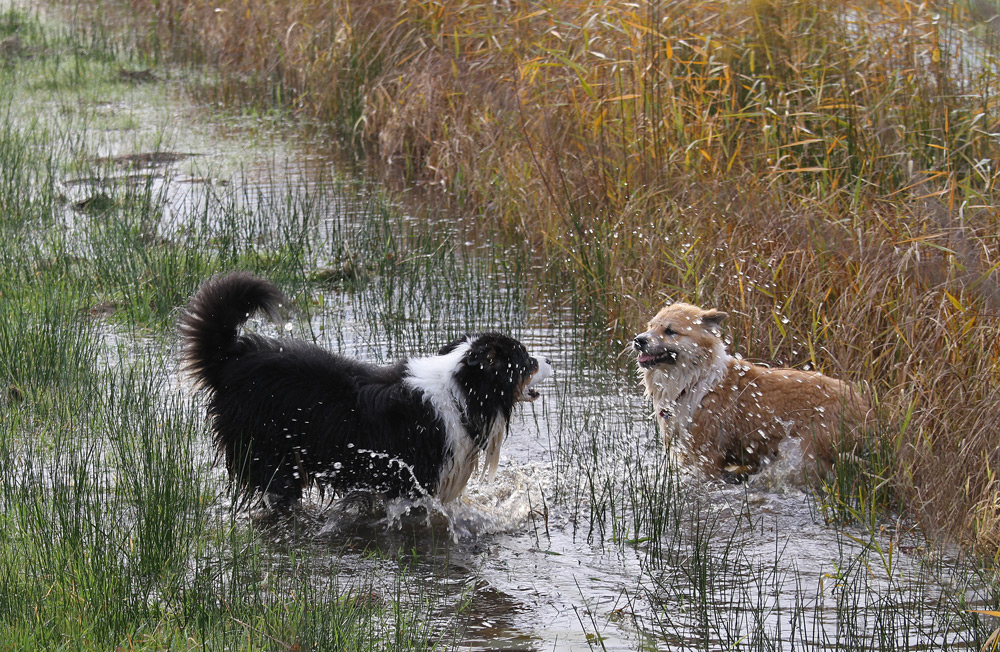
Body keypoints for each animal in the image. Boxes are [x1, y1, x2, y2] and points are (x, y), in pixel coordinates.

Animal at [181, 272, 556, 506]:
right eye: (526, 361)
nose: (549, 359)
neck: (460, 395)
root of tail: (230, 358)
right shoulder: (412, 483)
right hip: (270, 455)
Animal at [636, 304, 872, 482]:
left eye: (670, 331)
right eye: (650, 326)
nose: (639, 340)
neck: (695, 381)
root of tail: (862, 406)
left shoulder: (707, 456)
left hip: (811, 450)